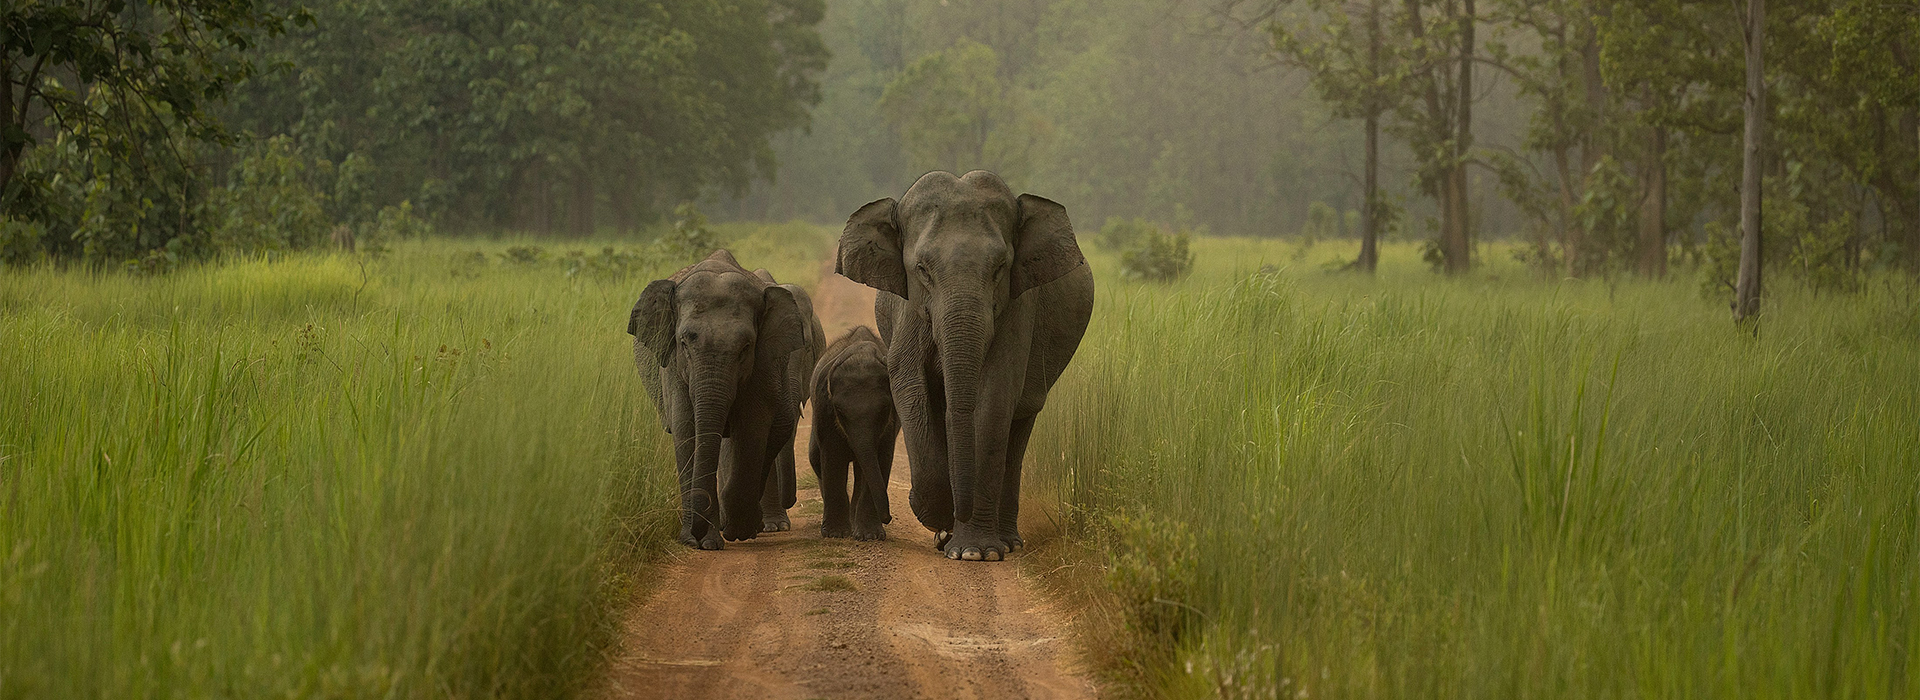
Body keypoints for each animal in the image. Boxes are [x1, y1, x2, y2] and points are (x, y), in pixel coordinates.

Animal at [629, 249, 817, 549]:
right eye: (684, 343)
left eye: (745, 347)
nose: (696, 534)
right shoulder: (672, 364)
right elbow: (686, 429)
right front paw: (698, 541)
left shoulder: (763, 361)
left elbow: (752, 427)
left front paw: (737, 529)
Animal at [808, 325, 899, 541]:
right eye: (839, 411)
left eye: (884, 410)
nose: (888, 518)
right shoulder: (825, 409)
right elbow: (832, 456)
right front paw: (835, 534)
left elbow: (882, 457)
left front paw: (870, 536)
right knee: (816, 459)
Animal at [837, 170, 1094, 561]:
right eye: (922, 270)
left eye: (1000, 268)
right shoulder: (909, 306)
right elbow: (909, 384)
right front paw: (939, 518)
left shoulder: (1018, 304)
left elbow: (994, 397)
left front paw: (976, 552)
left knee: (1018, 426)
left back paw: (1007, 542)